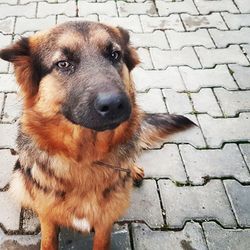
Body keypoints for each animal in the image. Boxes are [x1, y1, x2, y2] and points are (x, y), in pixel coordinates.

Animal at [0, 22, 194, 250]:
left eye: (114, 55)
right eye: (63, 64)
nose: (115, 104)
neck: (86, 158)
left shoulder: (105, 222)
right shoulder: (47, 215)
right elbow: (48, 240)